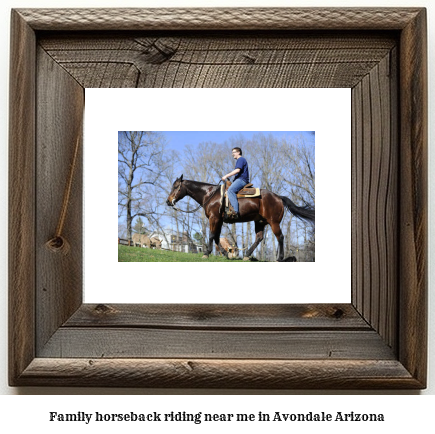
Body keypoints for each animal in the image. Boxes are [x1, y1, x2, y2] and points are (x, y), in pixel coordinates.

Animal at [165, 174, 316, 262]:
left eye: (176, 186)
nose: (168, 201)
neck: (210, 195)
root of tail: (279, 197)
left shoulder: (214, 218)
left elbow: (212, 235)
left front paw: (206, 253)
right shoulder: (219, 220)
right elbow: (217, 237)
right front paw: (225, 254)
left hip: (274, 222)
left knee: (280, 237)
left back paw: (279, 258)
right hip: (260, 222)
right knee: (259, 238)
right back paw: (247, 255)